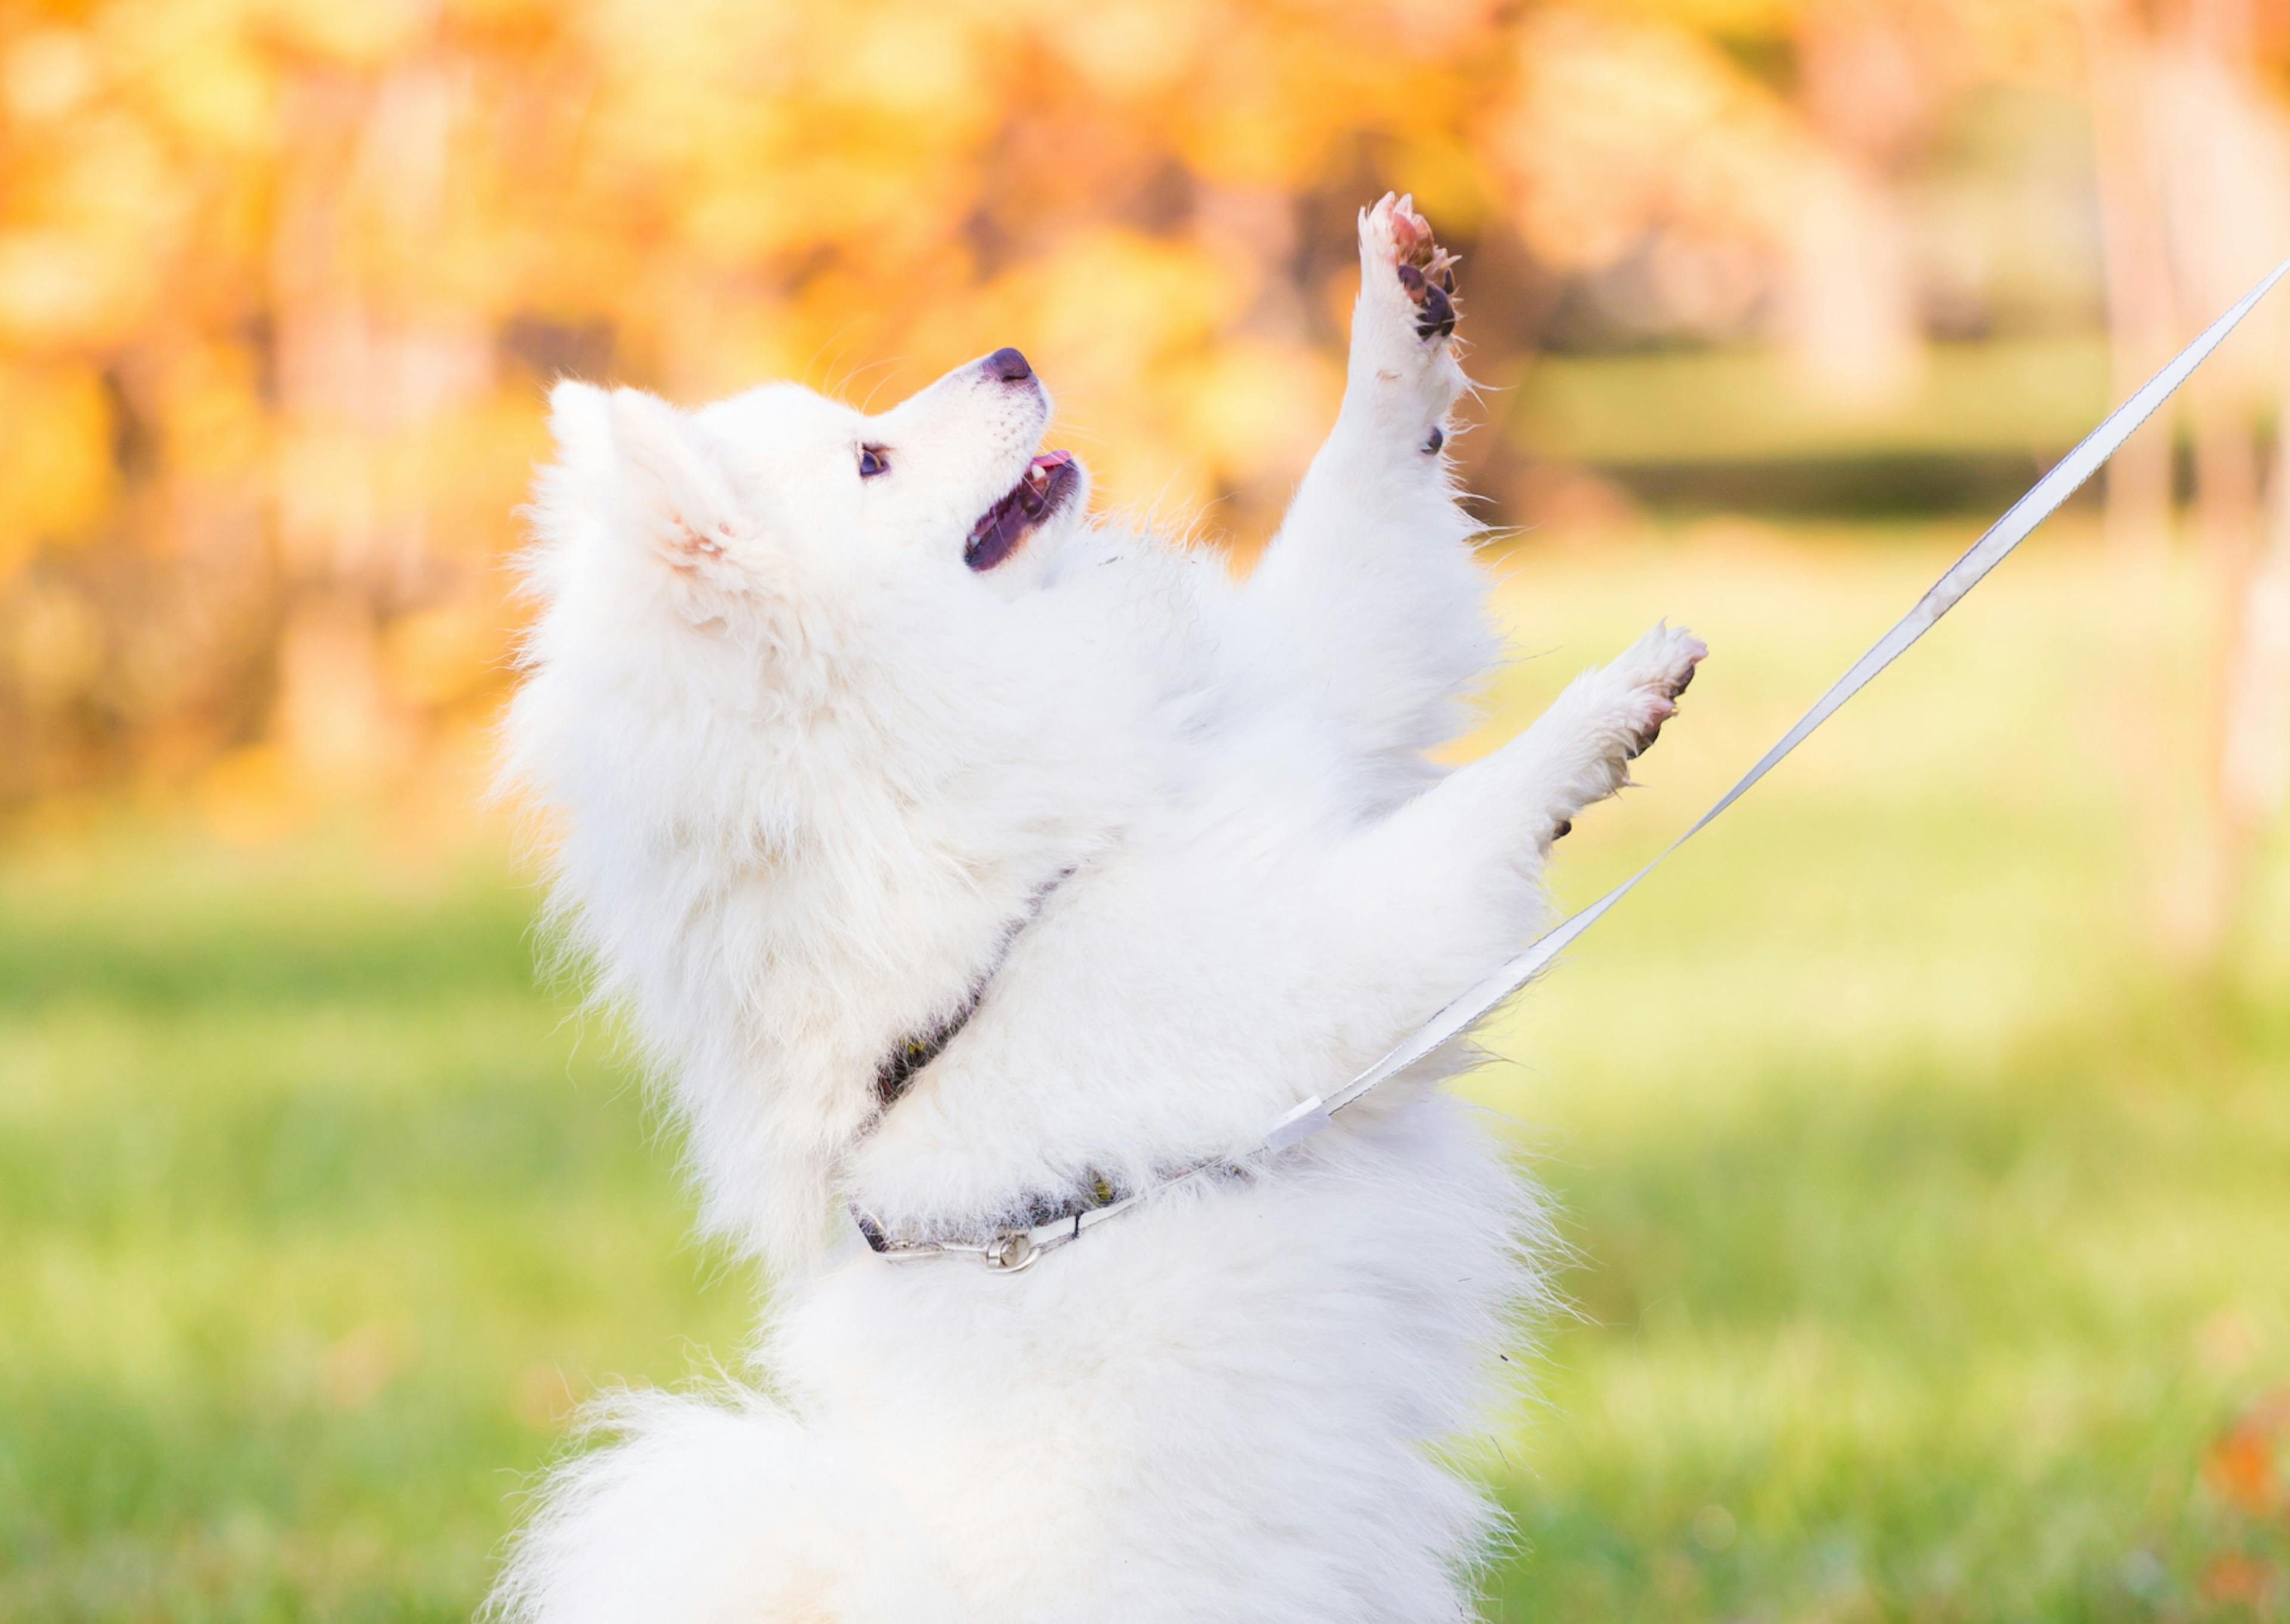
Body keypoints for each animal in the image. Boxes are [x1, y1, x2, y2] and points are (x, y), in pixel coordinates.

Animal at [501, 199, 1713, 1622]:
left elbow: (1361, 540)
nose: (1013, 354)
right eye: (870, 459)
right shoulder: (1311, 955)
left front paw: (1398, 309)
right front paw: (1603, 711)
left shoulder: (1309, 703)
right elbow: (1472, 818)